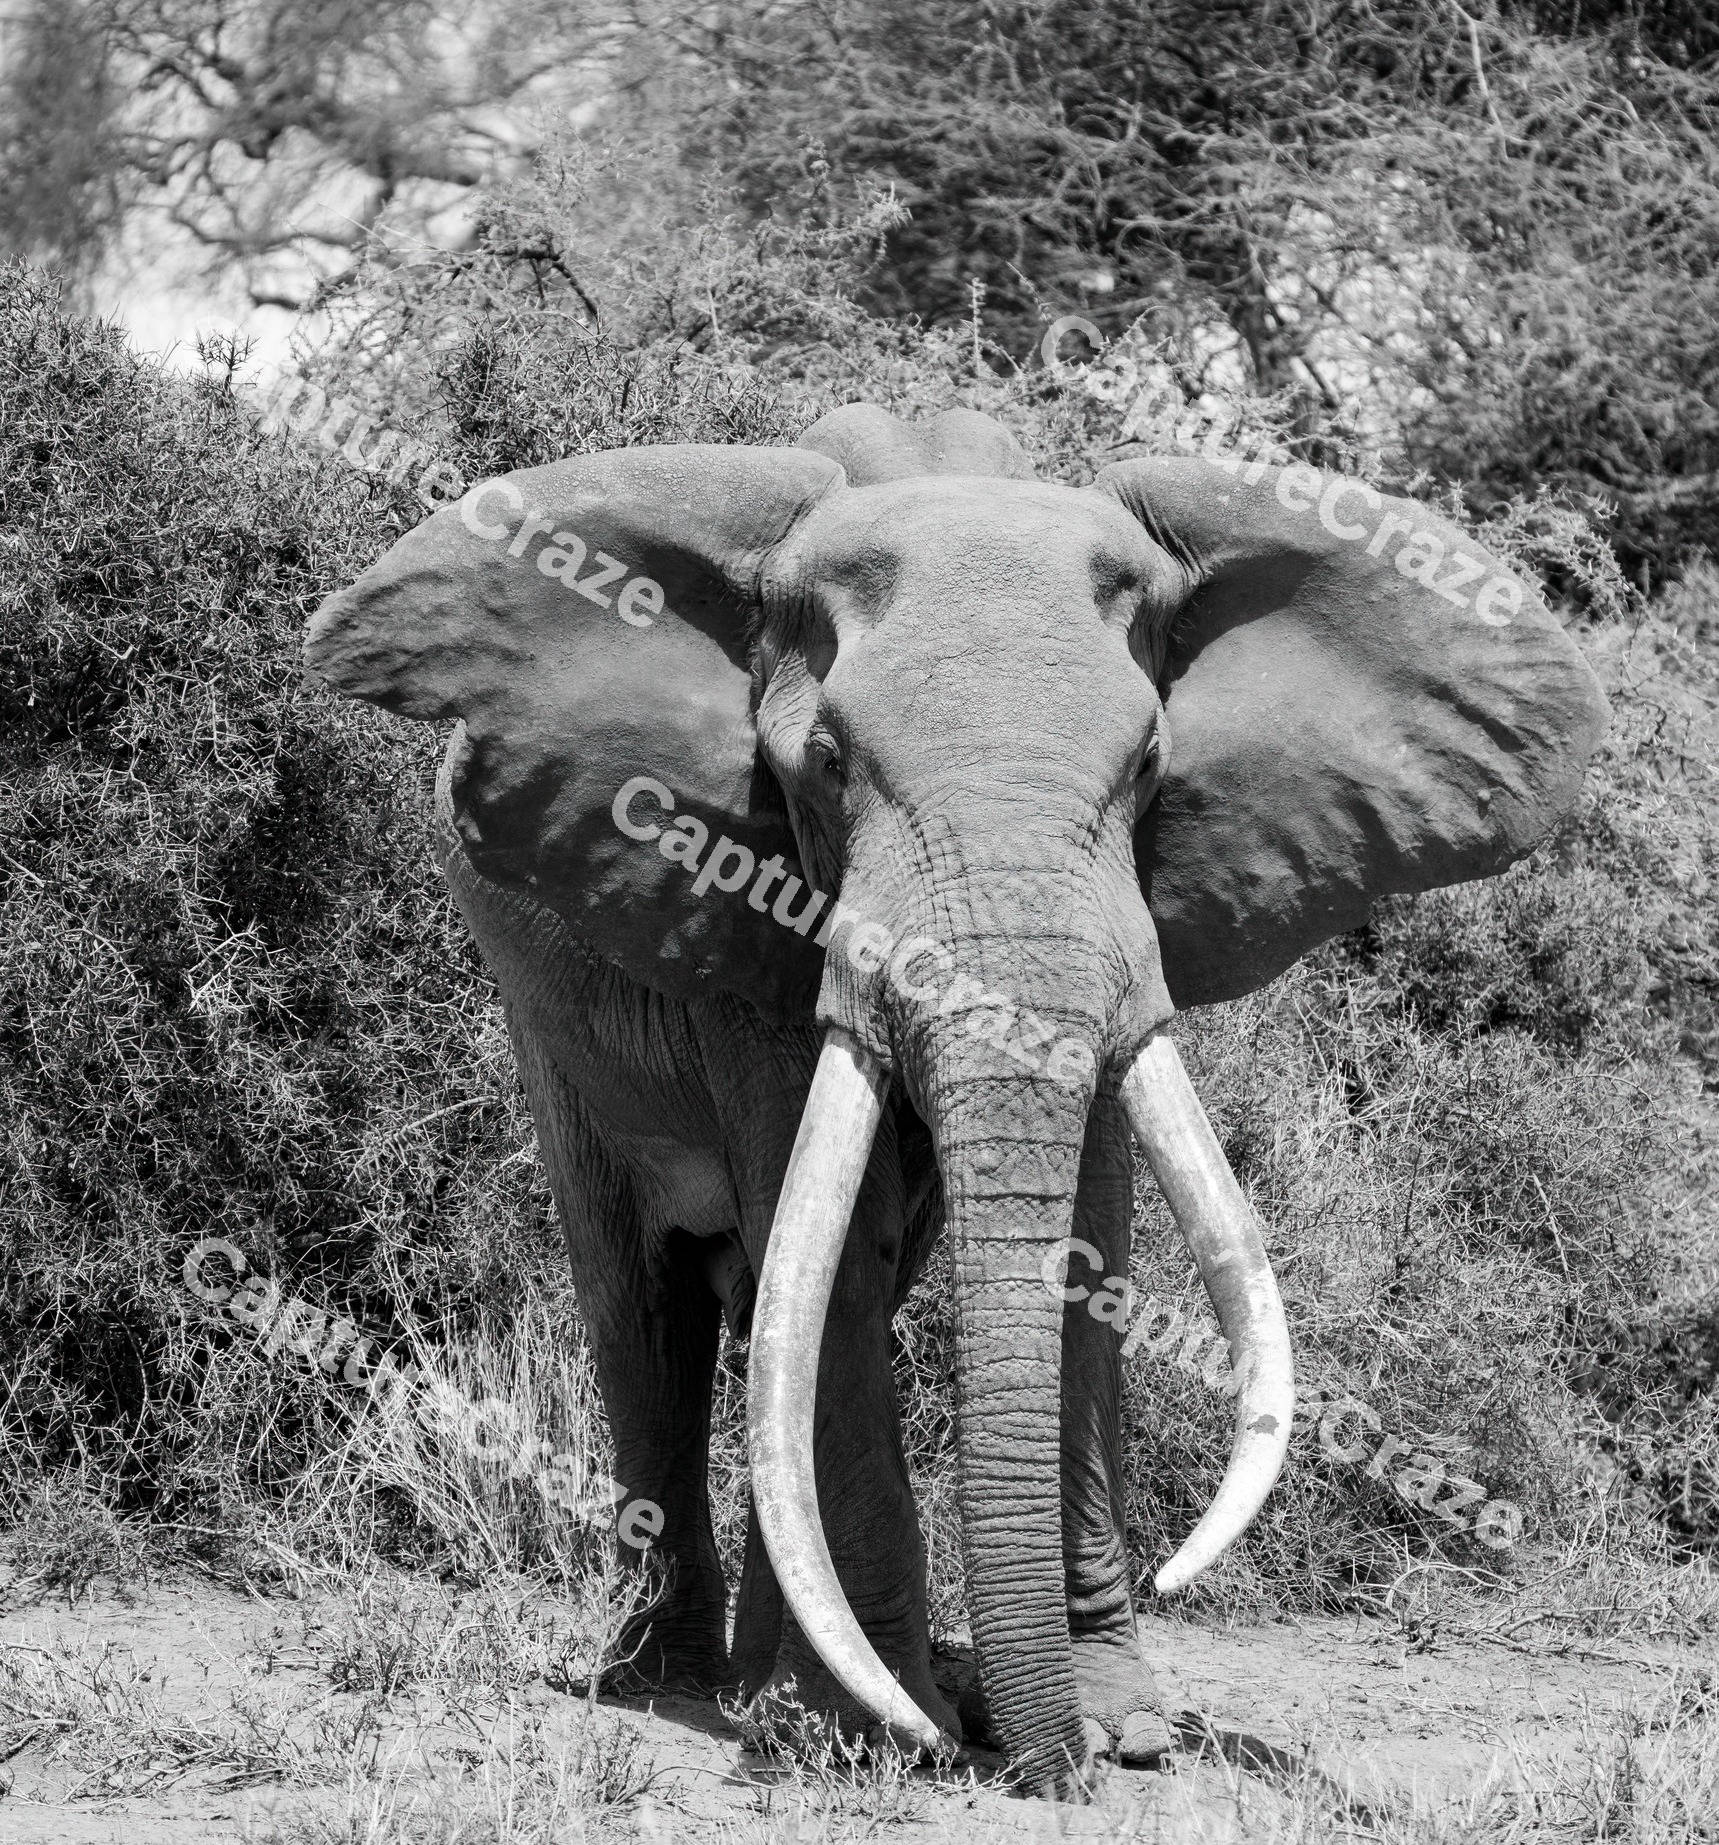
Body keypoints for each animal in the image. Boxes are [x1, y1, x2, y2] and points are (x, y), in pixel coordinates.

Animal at [304, 402, 1607, 1798]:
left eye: (1151, 762)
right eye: (823, 764)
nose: (1050, 1771)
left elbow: (1086, 1245)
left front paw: (1115, 1735)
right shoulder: (750, 913)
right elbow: (833, 1250)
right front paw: (880, 1737)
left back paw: (774, 1688)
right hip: (545, 1016)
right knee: (652, 1301)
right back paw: (677, 1684)